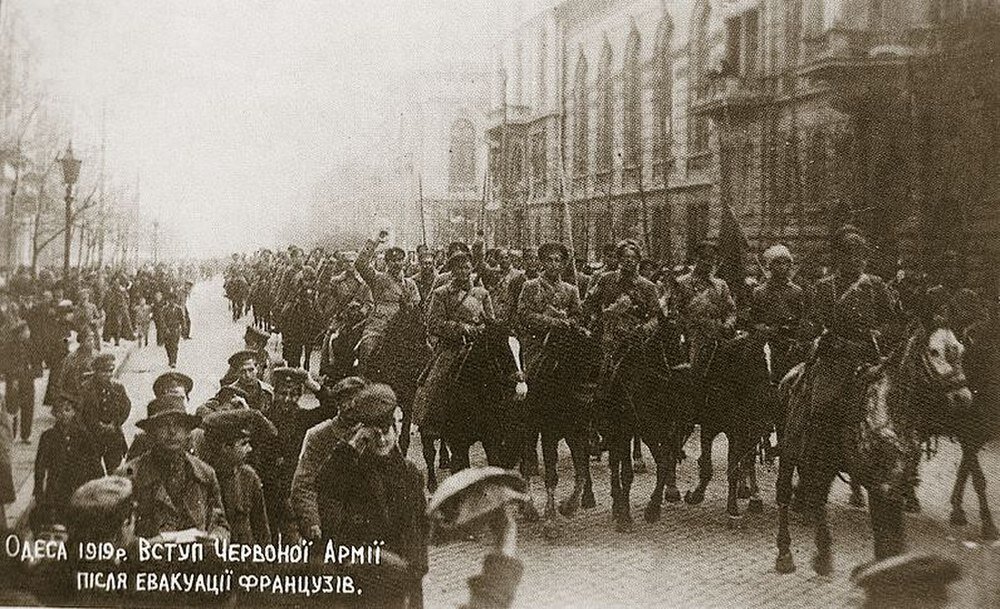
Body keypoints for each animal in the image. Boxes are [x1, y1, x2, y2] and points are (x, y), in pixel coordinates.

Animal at [524, 326, 600, 536]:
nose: (588, 393)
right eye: (575, 358)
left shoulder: (577, 434)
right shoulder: (548, 434)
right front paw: (550, 519)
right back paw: (529, 509)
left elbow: (581, 472)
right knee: (524, 464)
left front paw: (568, 507)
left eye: (599, 359)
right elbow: (551, 477)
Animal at [596, 316, 692, 528]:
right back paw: (617, 503)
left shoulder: (665, 429)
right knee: (615, 462)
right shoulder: (626, 428)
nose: (686, 381)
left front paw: (653, 508)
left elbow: (664, 463)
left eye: (685, 342)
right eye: (669, 343)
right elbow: (626, 472)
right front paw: (624, 516)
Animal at [776, 324, 972, 576]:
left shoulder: (896, 484)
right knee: (784, 493)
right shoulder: (880, 486)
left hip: (823, 460)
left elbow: (894, 539)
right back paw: (785, 554)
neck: (890, 411)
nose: (963, 398)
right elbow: (883, 538)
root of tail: (792, 375)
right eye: (934, 351)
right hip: (790, 451)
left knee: (818, 495)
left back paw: (823, 553)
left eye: (961, 349)